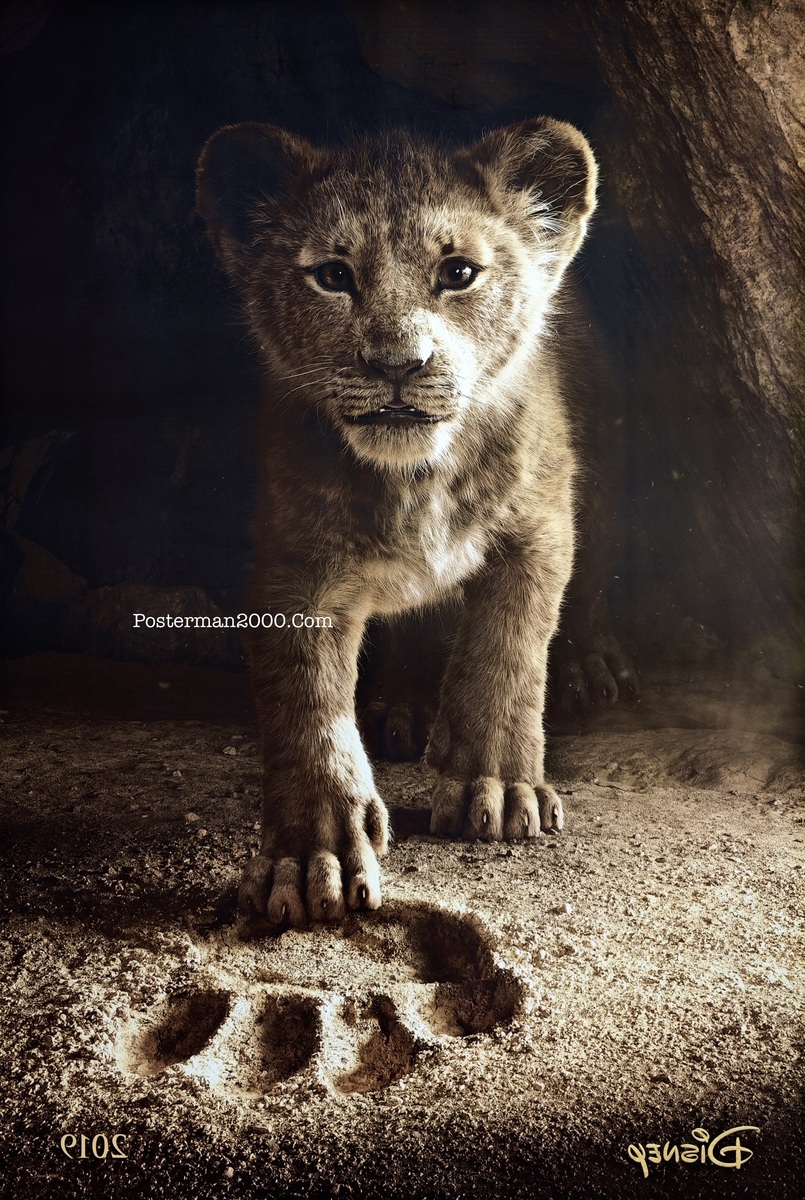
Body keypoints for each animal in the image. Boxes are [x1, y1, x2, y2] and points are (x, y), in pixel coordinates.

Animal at [196, 118, 637, 926]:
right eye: (332, 276)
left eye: (459, 272)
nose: (398, 363)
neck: (417, 478)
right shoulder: (296, 564)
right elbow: (305, 703)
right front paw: (312, 856)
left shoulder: (537, 527)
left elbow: (506, 652)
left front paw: (498, 790)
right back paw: (401, 708)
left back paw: (591, 668)